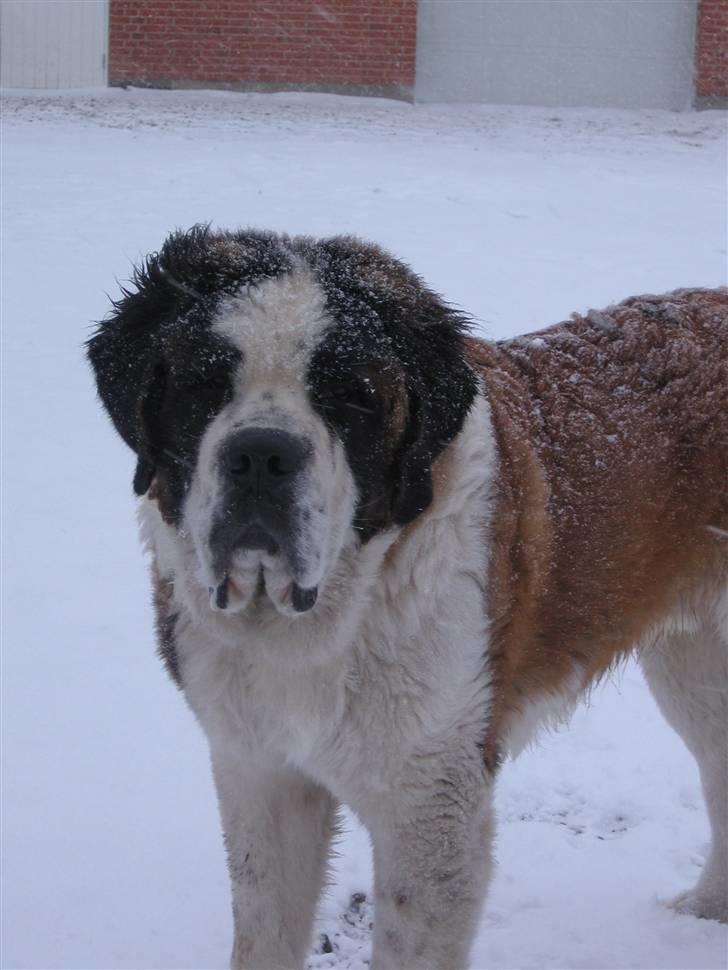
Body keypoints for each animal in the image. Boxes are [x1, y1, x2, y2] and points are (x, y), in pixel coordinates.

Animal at [91, 223, 728, 964]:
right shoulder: (260, 772)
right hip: (695, 668)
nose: (261, 455)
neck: (313, 625)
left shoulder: (431, 809)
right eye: (203, 383)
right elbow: (264, 930)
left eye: (353, 397)